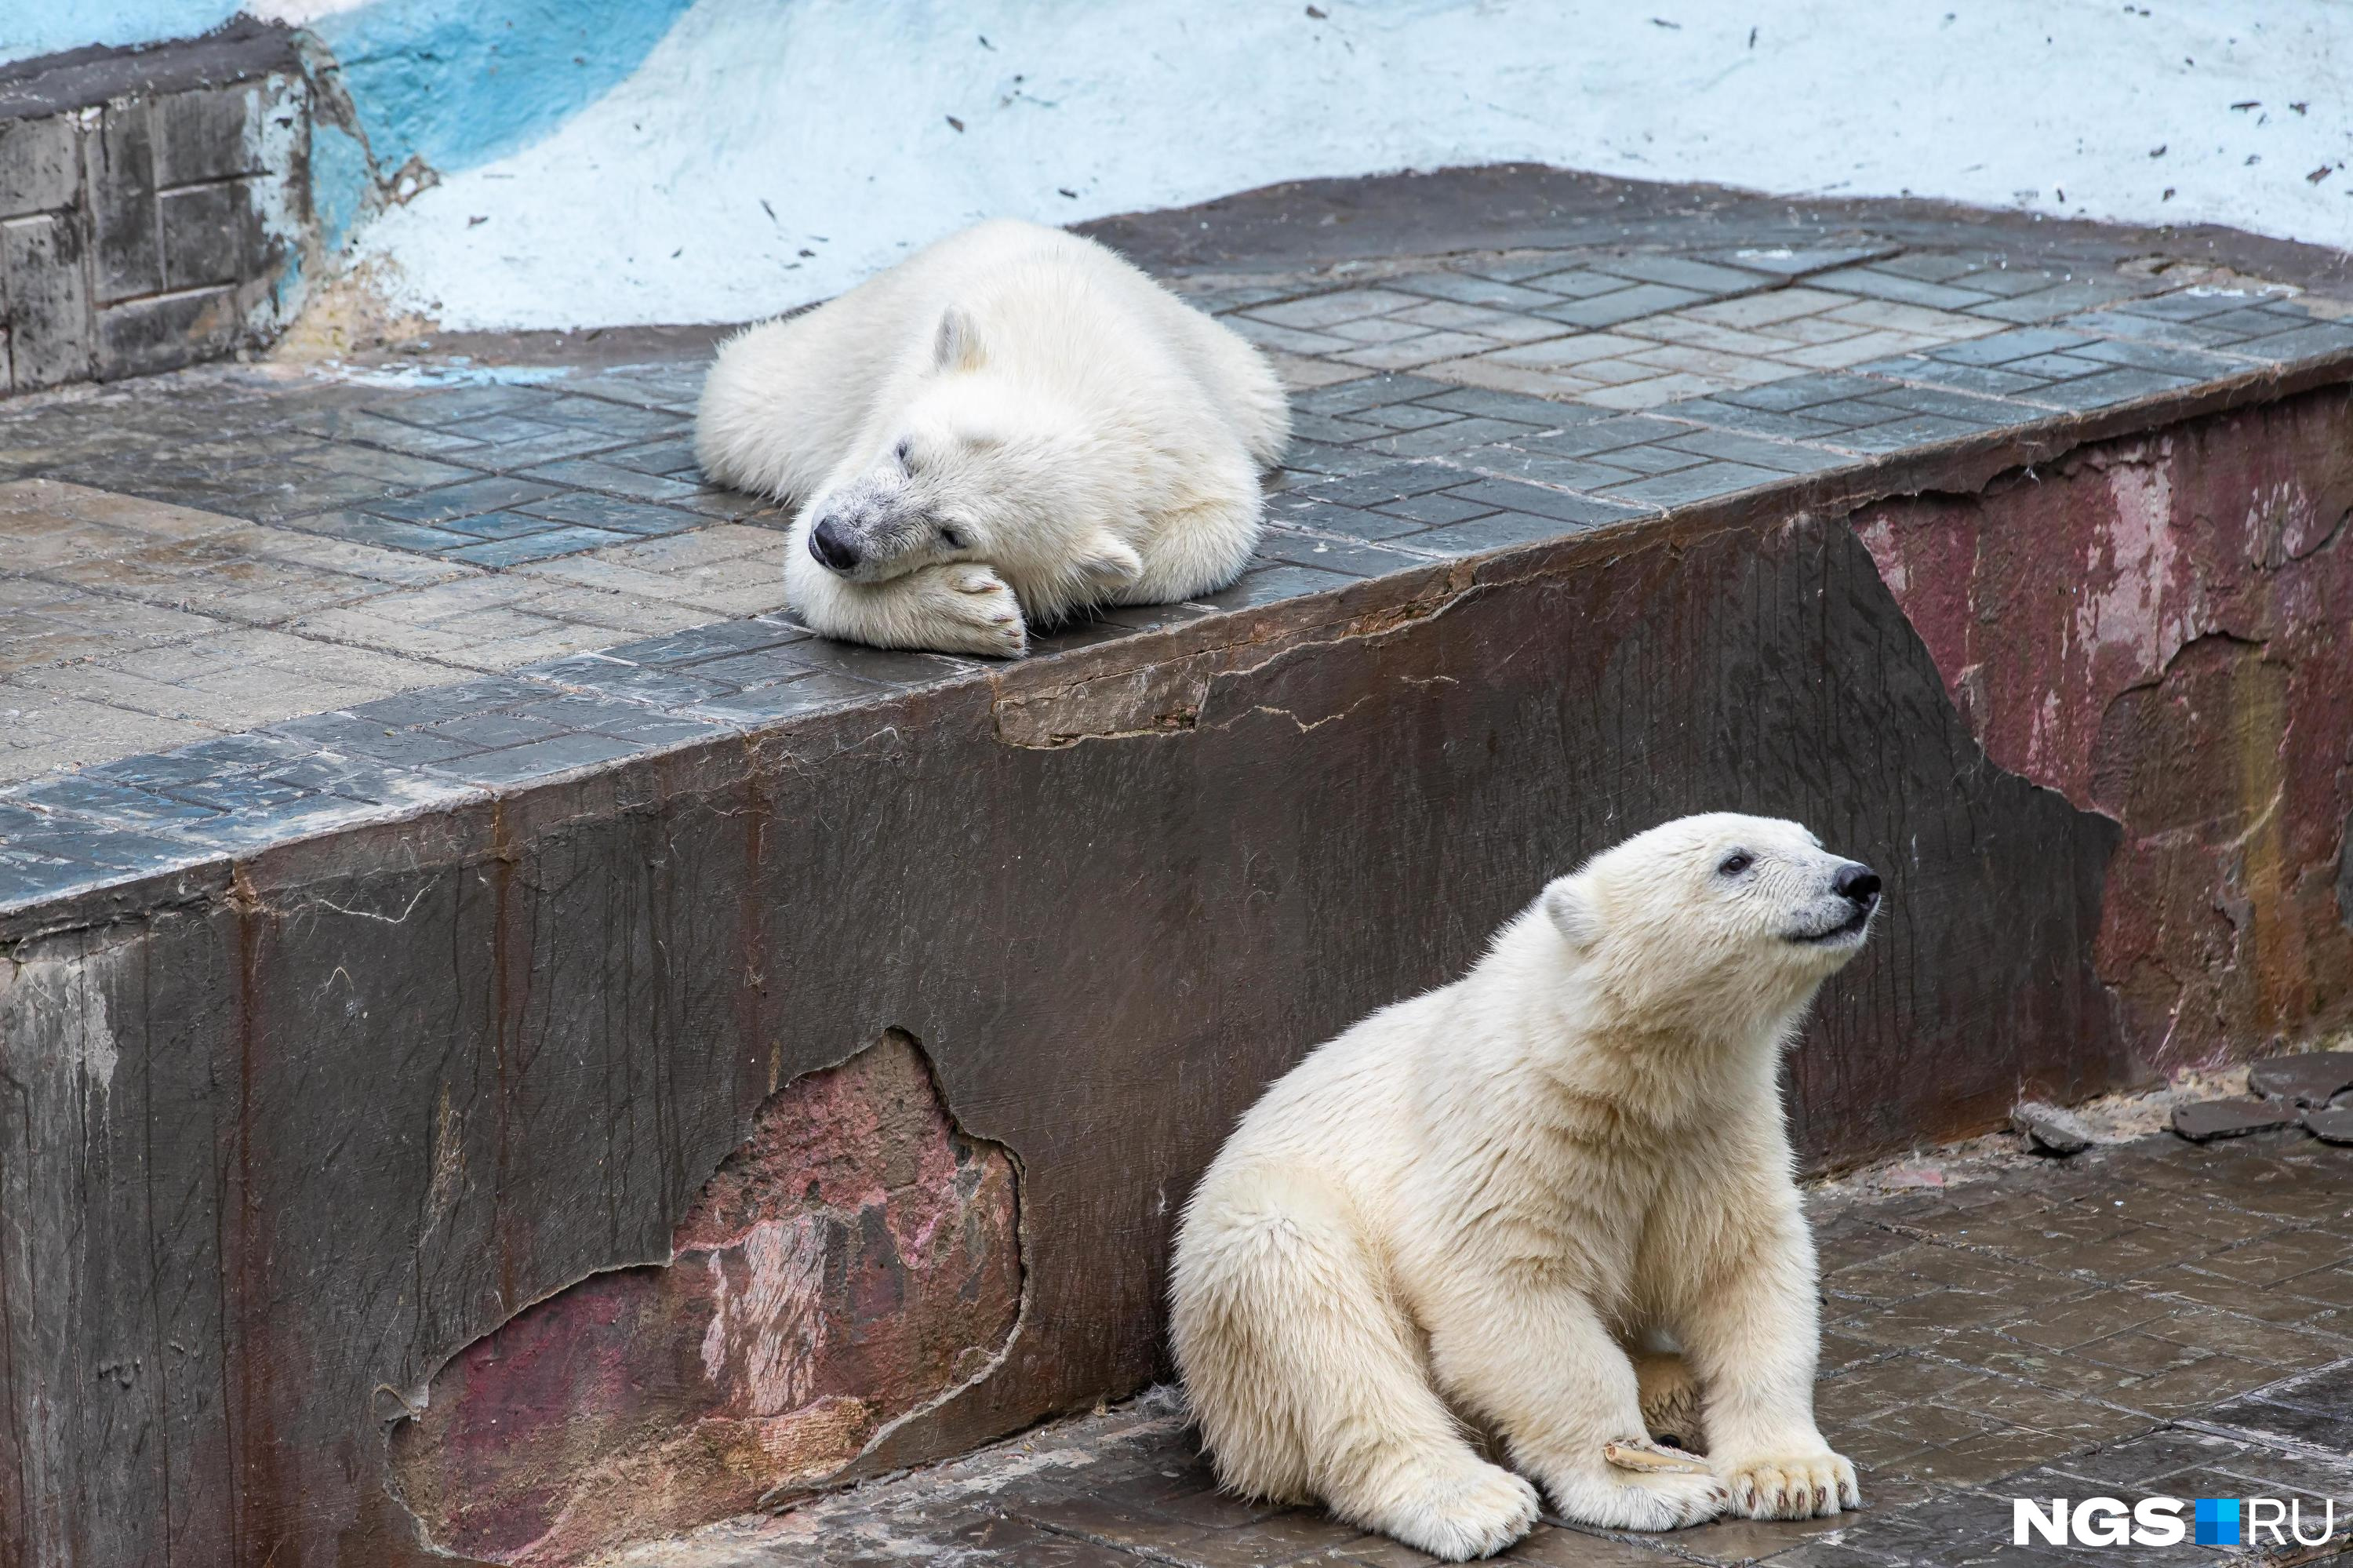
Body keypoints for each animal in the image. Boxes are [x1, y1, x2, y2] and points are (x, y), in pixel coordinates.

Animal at [687, 217, 1299, 654]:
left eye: (954, 534)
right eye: (905, 452)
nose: (836, 540)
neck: (1069, 388)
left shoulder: (1182, 446)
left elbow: (1214, 534)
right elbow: (802, 565)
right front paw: (969, 610)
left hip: (1242, 386)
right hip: (835, 359)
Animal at [1167, 809, 1882, 1553]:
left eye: (1811, 840)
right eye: (1735, 861)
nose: (1857, 880)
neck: (1615, 1067)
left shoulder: (1715, 1134)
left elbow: (1745, 1267)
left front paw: (1795, 1474)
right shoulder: (1511, 1136)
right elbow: (1508, 1288)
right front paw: (1652, 1486)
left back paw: (1671, 1386)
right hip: (1245, 1265)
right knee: (1312, 1306)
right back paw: (1472, 1500)